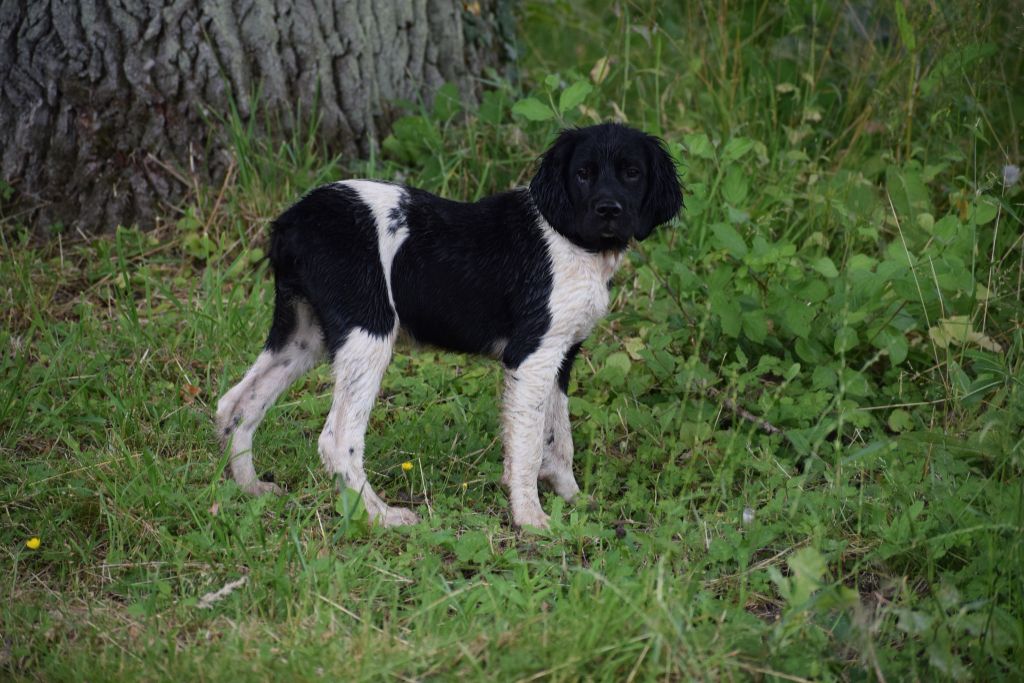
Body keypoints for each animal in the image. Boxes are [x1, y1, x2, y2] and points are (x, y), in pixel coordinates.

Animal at [216, 122, 679, 528]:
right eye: (582, 174)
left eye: (632, 173)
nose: (608, 211)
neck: (571, 239)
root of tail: (292, 221)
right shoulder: (531, 356)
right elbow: (529, 443)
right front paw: (531, 518)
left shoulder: (561, 355)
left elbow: (557, 437)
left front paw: (573, 498)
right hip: (368, 331)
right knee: (336, 439)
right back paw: (383, 517)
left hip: (302, 334)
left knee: (238, 403)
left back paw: (252, 488)